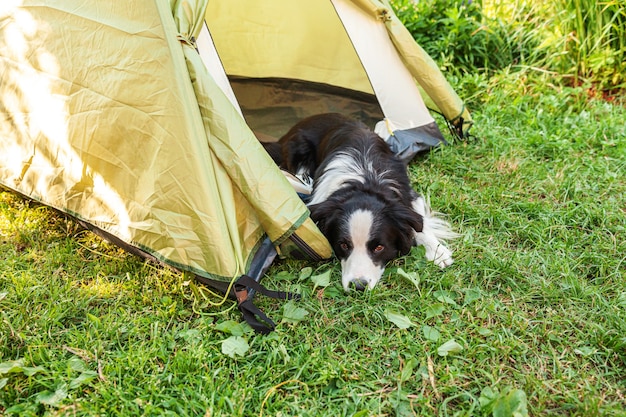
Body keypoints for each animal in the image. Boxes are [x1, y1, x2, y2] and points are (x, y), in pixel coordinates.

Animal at [262, 112, 454, 290]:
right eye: (343, 245)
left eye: (379, 247)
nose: (358, 286)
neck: (365, 182)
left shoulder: (408, 195)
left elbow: (419, 223)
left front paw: (438, 252)